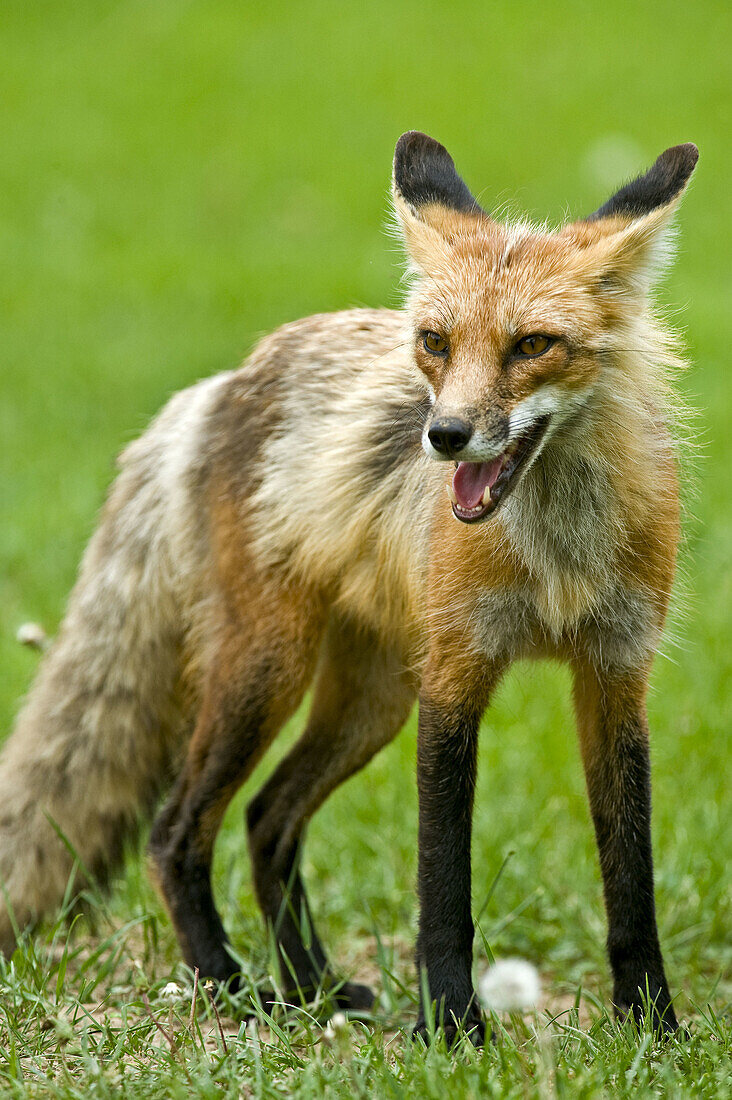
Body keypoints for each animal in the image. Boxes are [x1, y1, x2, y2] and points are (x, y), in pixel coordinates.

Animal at [0, 133, 695, 1042]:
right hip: (269, 670)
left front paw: (652, 1023)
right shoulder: (453, 679)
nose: (445, 435)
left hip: (369, 701)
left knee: (266, 818)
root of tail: (218, 386)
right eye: (435, 341)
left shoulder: (614, 675)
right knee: (176, 831)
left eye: (532, 345)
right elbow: (443, 887)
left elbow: (630, 876)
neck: (557, 556)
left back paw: (312, 987)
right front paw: (453, 1028)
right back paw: (230, 986)